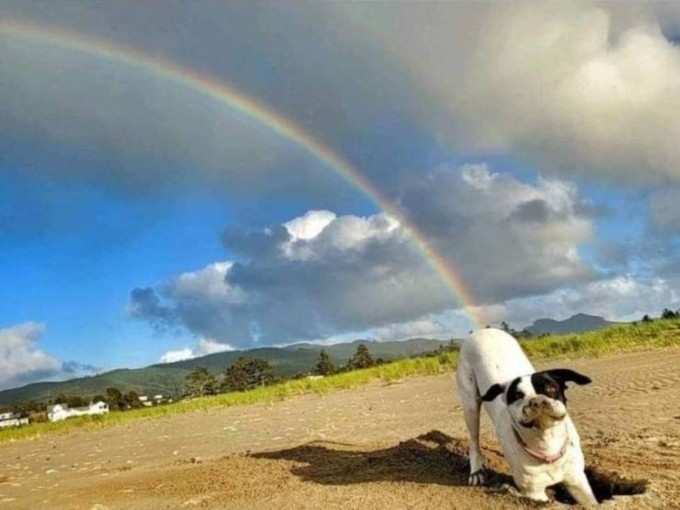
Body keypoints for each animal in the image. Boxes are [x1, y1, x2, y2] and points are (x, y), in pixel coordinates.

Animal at [456, 328, 596, 504]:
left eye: (551, 388)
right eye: (517, 396)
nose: (536, 400)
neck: (546, 443)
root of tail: (484, 330)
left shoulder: (578, 482)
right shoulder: (535, 493)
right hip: (470, 404)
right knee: (474, 439)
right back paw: (476, 471)